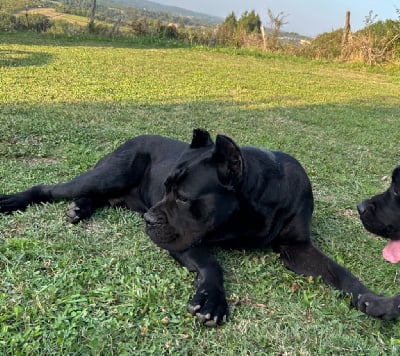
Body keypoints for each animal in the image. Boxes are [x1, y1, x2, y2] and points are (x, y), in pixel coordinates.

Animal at [0, 129, 400, 326]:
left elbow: (338, 271)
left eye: (182, 197)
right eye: (166, 189)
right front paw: (212, 298)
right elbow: (211, 263)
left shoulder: (298, 248)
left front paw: (375, 300)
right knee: (50, 188)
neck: (252, 205)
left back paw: (80, 209)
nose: (149, 220)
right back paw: (15, 201)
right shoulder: (183, 238)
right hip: (107, 174)